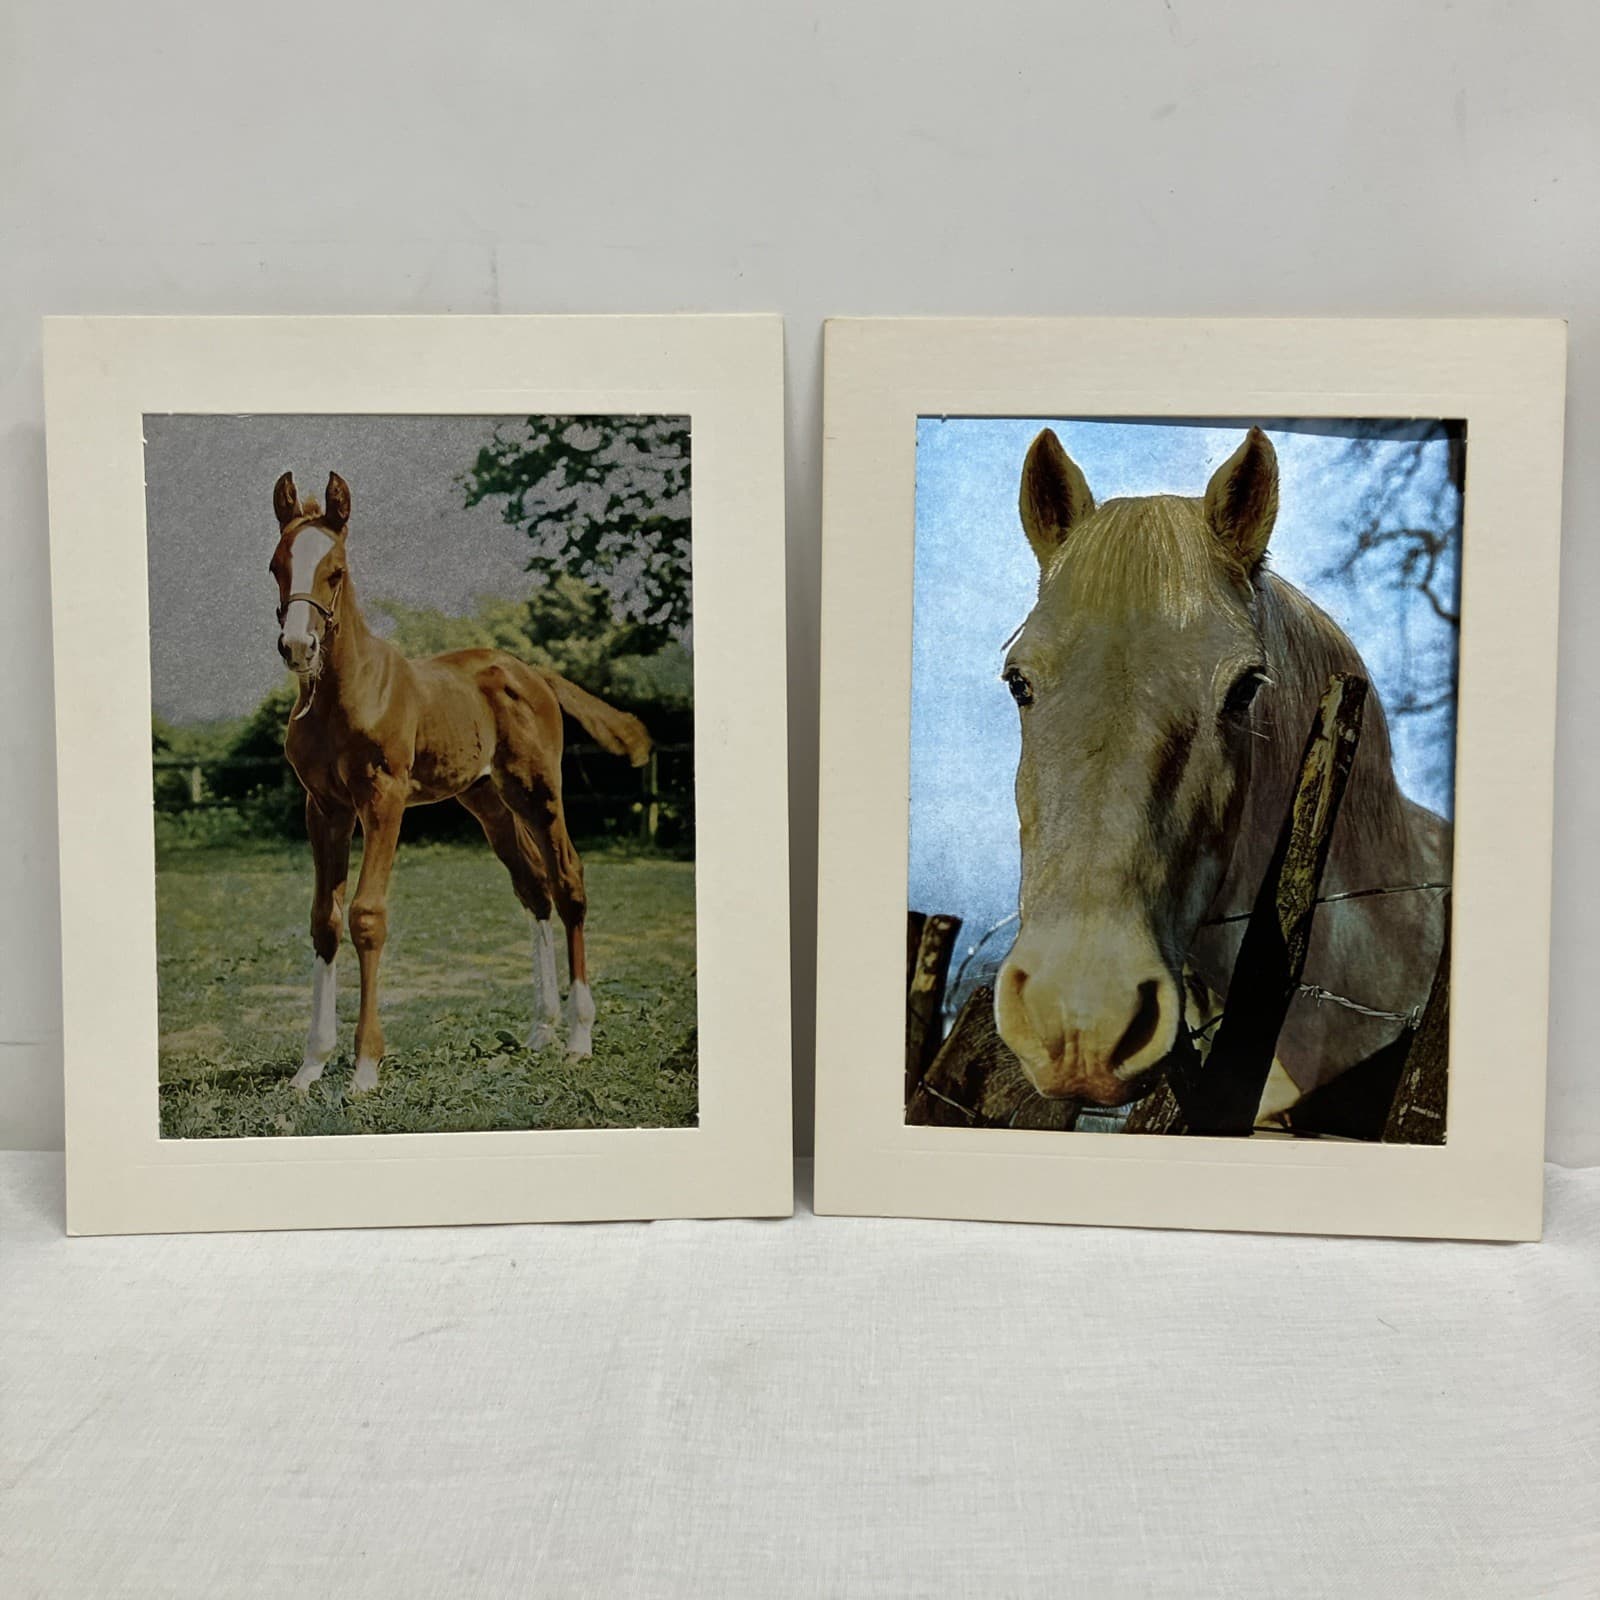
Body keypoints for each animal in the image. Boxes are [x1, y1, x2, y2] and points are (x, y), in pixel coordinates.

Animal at [268, 470, 651, 1094]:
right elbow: (325, 920)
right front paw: (311, 1066)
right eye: (277, 565)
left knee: (568, 882)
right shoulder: (323, 807)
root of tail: (532, 671)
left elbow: (366, 916)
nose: (299, 648)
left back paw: (578, 1037)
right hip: (490, 800)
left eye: (337, 570)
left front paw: (365, 1067)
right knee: (534, 888)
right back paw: (541, 1030)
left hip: (539, 791)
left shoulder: (383, 799)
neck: (346, 693)